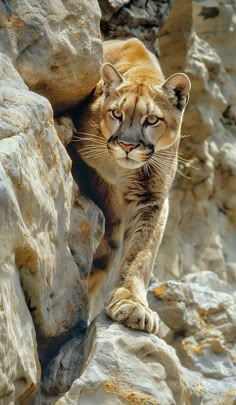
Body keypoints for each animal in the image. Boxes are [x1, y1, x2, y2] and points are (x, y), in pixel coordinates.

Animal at [70, 38, 190, 332]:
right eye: (116, 113)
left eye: (152, 119)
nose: (126, 145)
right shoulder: (89, 163)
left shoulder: (153, 197)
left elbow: (141, 252)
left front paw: (131, 304)